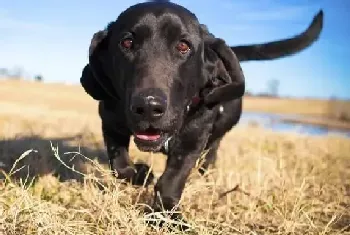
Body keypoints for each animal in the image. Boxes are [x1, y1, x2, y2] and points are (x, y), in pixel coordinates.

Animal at [79, 0, 322, 224]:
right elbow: (119, 164)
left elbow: (172, 181)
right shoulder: (111, 122)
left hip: (213, 143)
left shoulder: (192, 142)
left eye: (183, 46)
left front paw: (167, 215)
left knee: (208, 160)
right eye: (127, 42)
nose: (148, 107)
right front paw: (141, 174)